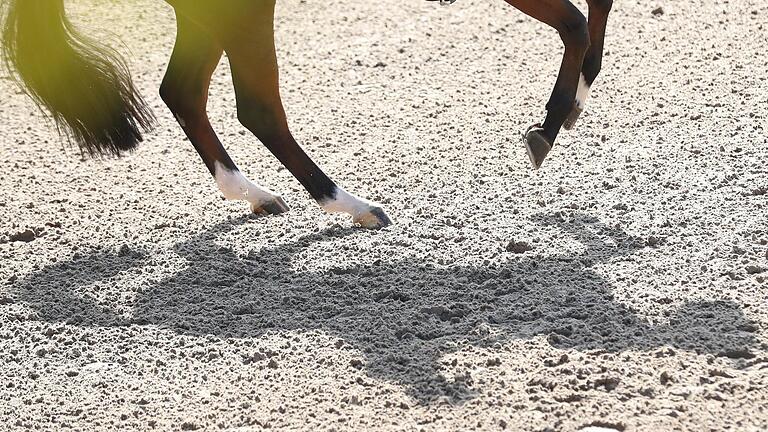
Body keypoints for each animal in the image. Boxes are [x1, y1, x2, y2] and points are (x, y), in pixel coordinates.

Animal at [0, 0, 612, 230]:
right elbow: (576, 23)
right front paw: (547, 127)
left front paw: (572, 106)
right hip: (242, 14)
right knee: (257, 109)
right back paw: (353, 206)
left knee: (183, 93)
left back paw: (253, 194)